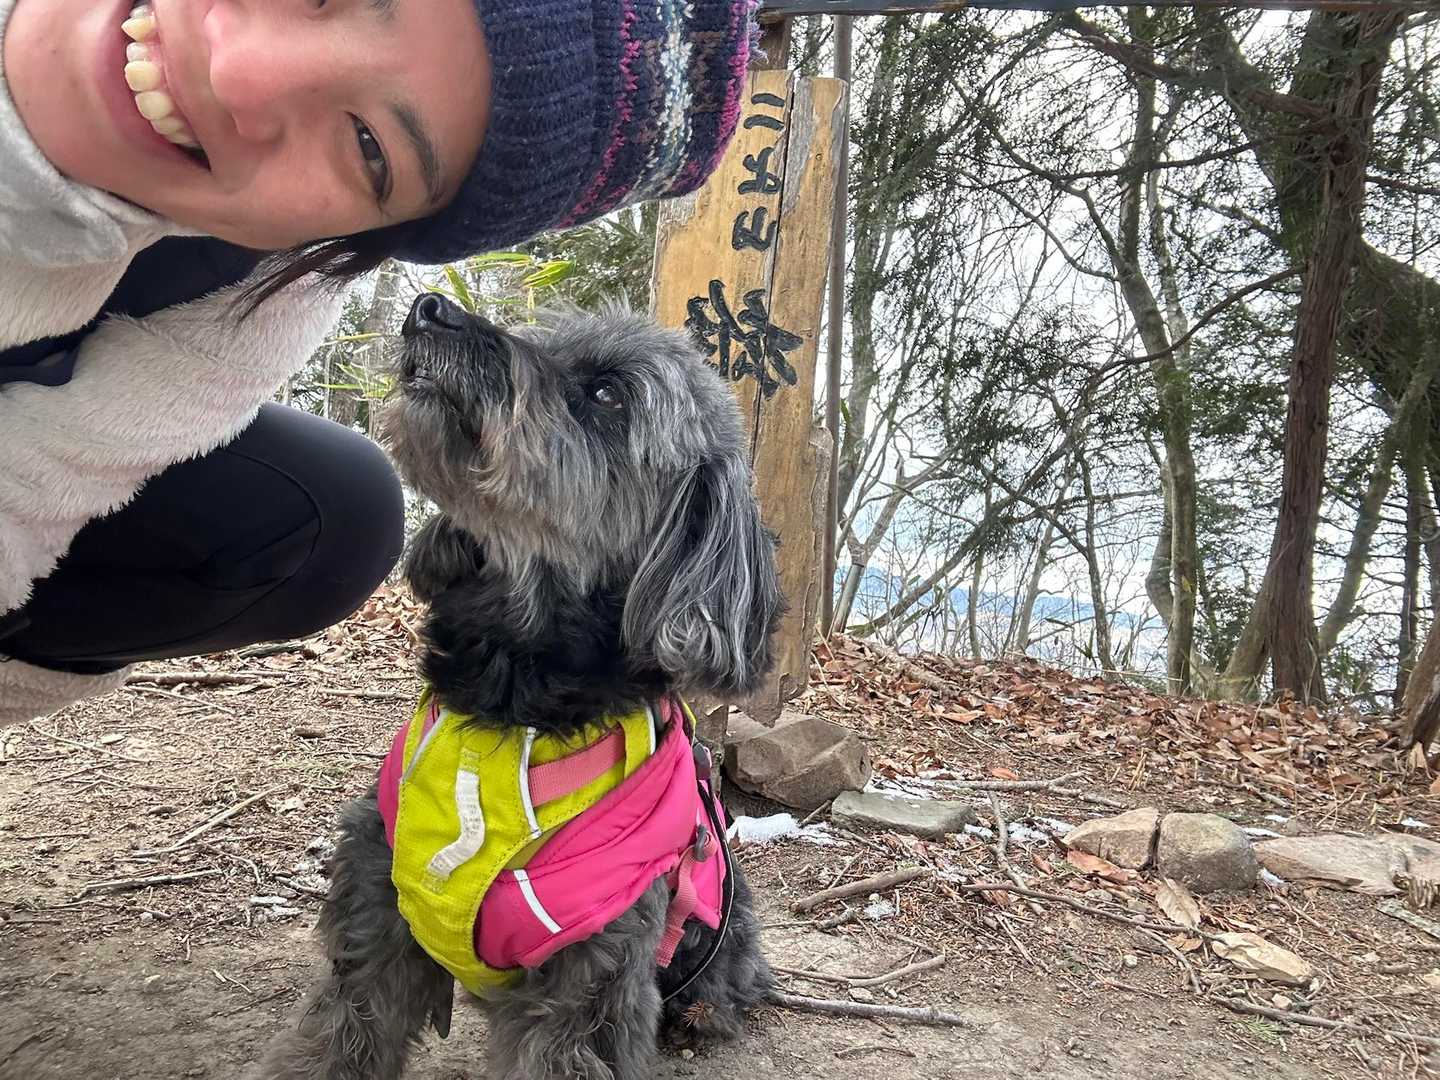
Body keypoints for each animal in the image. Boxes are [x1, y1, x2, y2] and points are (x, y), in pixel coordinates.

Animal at [252, 293, 783, 1080]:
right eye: (543, 340)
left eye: (606, 393)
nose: (429, 307)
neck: (510, 706)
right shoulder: (376, 908)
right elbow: (341, 1033)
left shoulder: (589, 975)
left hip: (726, 929)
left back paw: (700, 1019)